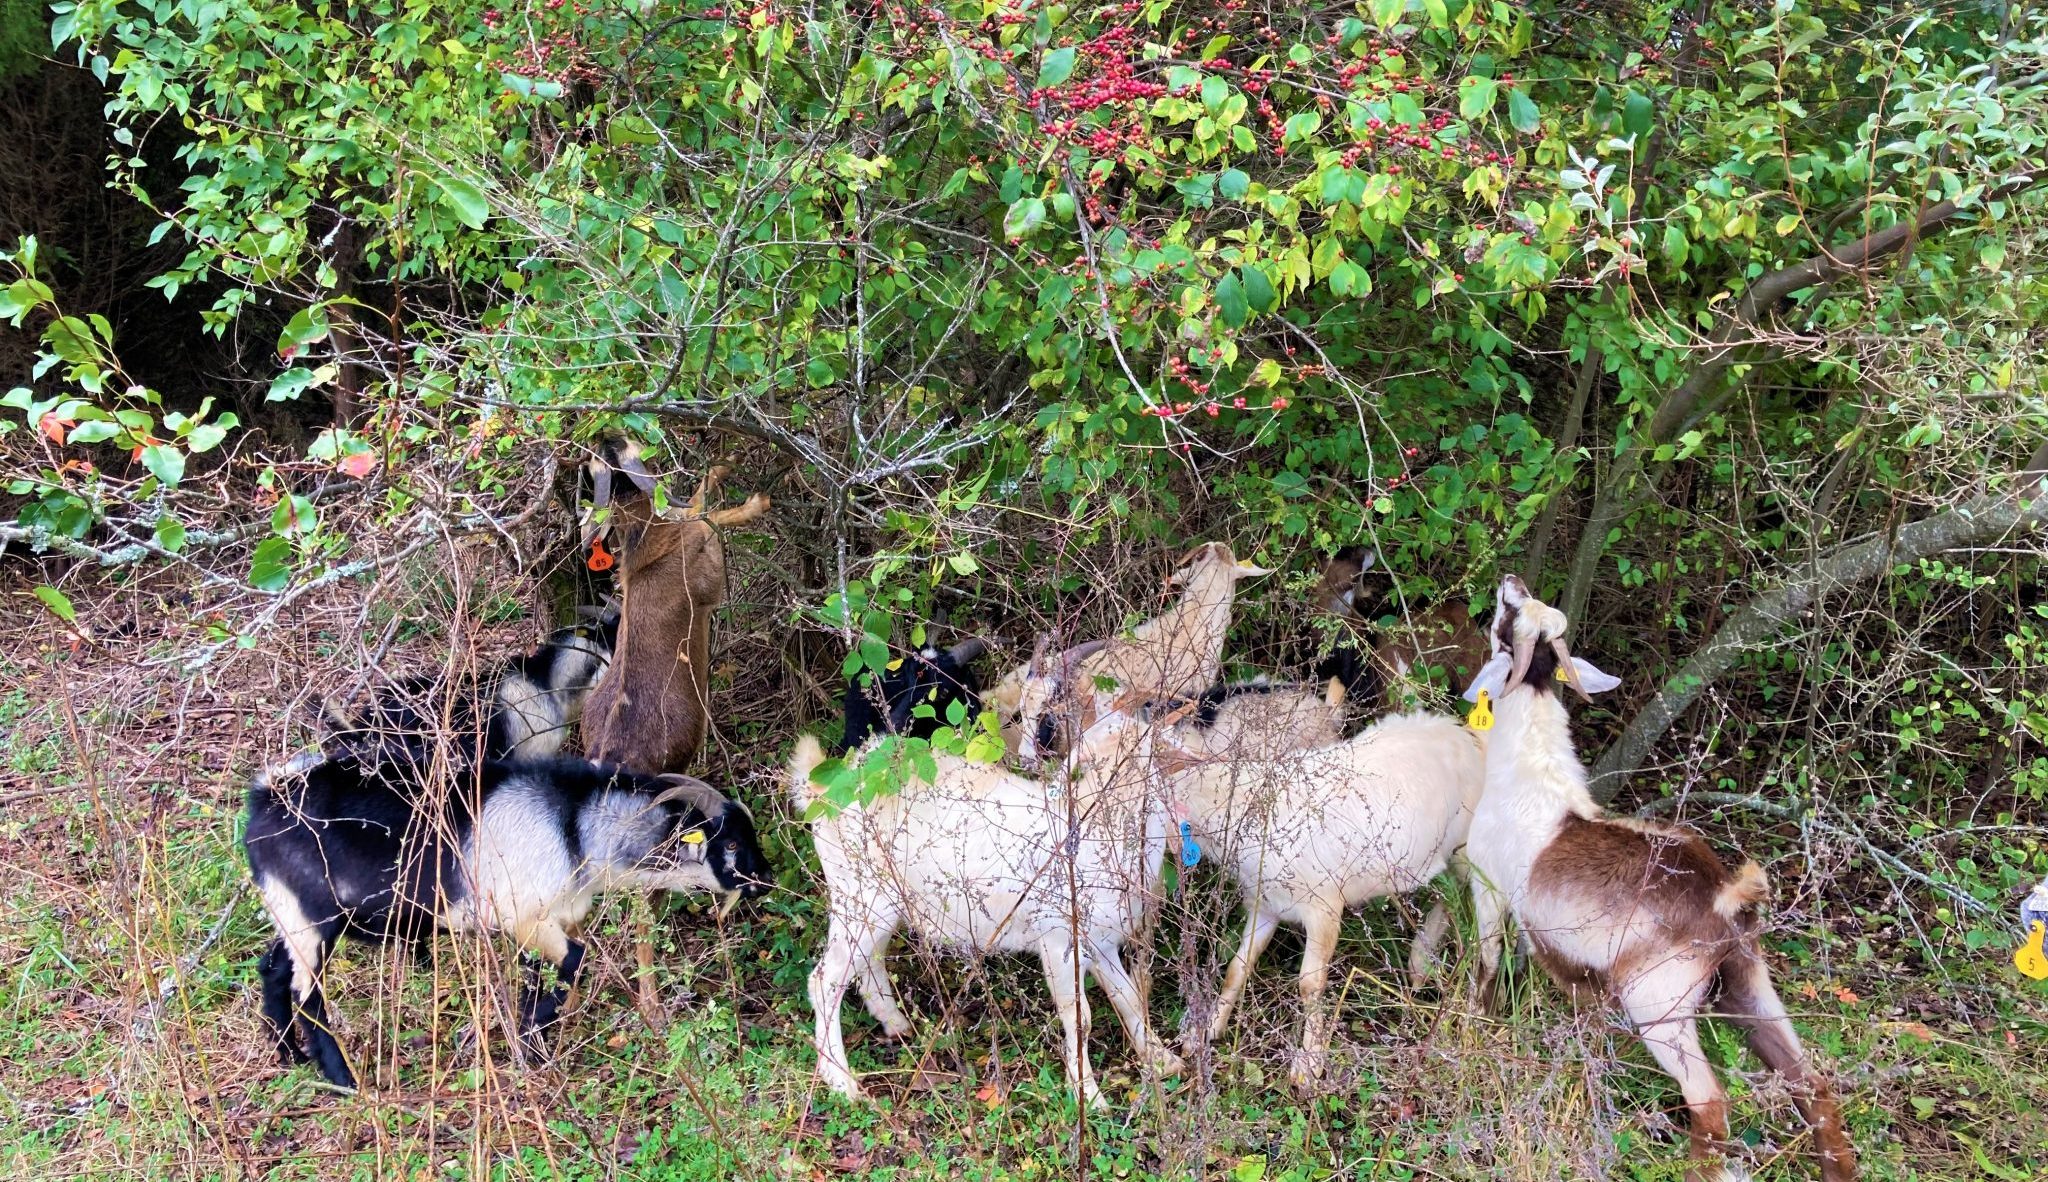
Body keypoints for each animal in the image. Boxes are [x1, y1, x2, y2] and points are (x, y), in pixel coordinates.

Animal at [243, 745, 770, 1089]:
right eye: (730, 843)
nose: (765, 878)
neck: (572, 825)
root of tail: (266, 798)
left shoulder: (545, 920)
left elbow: (540, 974)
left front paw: (531, 1044)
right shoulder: (526, 918)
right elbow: (575, 961)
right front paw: (533, 1045)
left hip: (289, 914)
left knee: (272, 969)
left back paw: (288, 1054)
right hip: (314, 921)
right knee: (307, 994)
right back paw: (343, 1079)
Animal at [1458, 569, 1859, 1171]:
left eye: (1510, 619)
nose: (1512, 580)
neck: (1530, 774)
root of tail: (1725, 896)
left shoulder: (1489, 890)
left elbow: (1486, 969)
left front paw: (1473, 1037)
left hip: (1660, 1007)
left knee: (1710, 1103)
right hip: (1747, 986)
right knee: (1811, 1083)